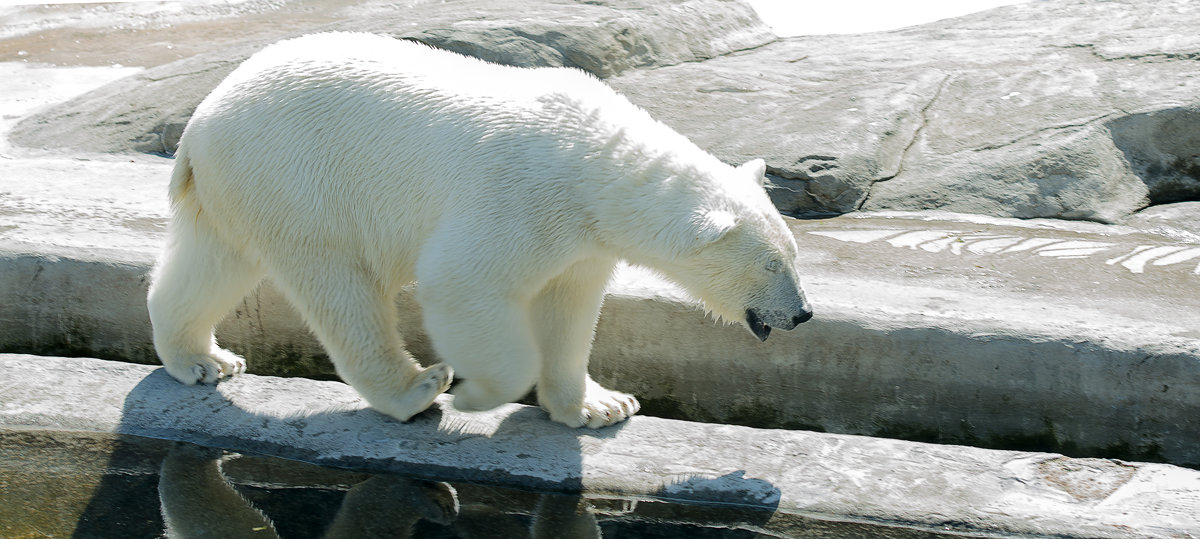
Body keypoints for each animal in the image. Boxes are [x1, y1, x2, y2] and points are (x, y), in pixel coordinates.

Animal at [145, 33, 811, 427]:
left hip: (238, 187)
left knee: (212, 263)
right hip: (298, 178)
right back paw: (416, 388)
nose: (802, 313)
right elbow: (462, 284)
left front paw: (601, 405)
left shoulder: (581, 239)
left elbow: (570, 307)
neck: (593, 159)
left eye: (792, 254)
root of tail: (198, 124)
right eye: (773, 264)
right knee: (339, 287)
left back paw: (203, 361)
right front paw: (475, 394)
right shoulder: (517, 195)